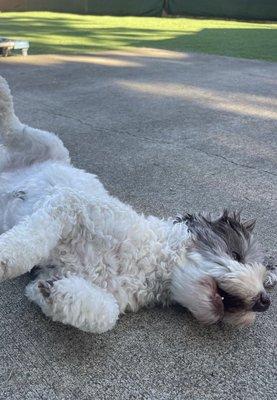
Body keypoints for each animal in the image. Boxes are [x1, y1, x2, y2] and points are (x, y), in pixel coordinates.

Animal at [0, 76, 274, 332]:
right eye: (237, 255)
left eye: (266, 281)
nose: (265, 301)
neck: (148, 261)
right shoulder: (70, 204)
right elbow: (28, 241)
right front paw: (4, 258)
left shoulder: (60, 275)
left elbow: (104, 314)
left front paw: (55, 292)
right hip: (48, 143)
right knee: (14, 126)